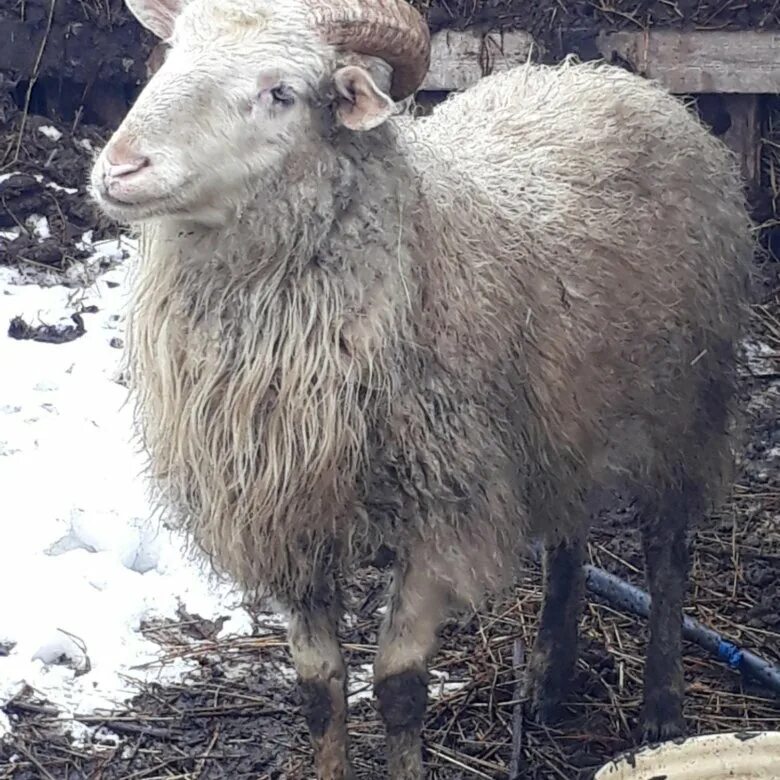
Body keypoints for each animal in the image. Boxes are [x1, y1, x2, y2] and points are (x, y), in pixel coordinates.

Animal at [88, 3, 752, 776]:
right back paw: (550, 681)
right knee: (568, 539)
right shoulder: (288, 517)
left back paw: (661, 709)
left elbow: (399, 687)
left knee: (667, 551)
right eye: (171, 57)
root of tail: (610, 78)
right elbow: (319, 688)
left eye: (281, 92)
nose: (121, 166)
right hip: (562, 417)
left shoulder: (444, 513)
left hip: (687, 405)